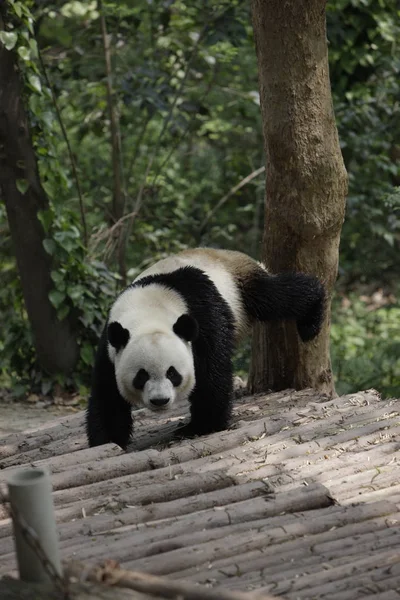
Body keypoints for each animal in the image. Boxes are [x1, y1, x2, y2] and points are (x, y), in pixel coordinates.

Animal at [86, 246, 324, 448]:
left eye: (172, 373)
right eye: (141, 376)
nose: (160, 401)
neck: (148, 312)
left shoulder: (201, 313)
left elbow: (212, 371)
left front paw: (201, 426)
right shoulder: (111, 346)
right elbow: (107, 394)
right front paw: (108, 441)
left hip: (239, 286)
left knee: (275, 296)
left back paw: (312, 315)